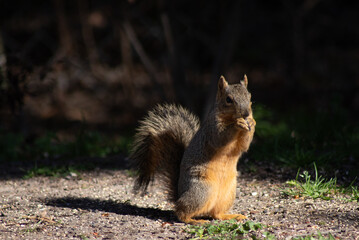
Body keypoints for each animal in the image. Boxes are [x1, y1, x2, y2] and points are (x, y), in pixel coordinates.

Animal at [131, 75, 258, 225]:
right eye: (228, 99)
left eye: (249, 96)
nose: (246, 113)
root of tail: (180, 194)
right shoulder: (211, 129)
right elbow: (220, 139)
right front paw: (237, 123)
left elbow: (244, 146)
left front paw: (252, 122)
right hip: (201, 190)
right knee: (181, 211)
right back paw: (194, 220)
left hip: (228, 194)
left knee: (216, 214)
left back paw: (232, 216)